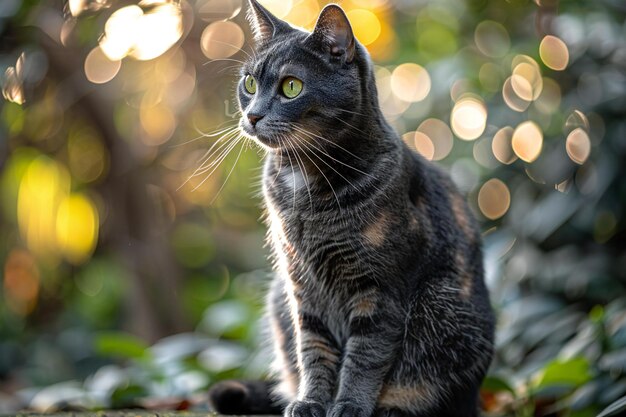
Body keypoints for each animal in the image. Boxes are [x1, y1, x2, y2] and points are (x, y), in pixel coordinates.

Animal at [207, 1, 494, 414]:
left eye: (291, 86)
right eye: (249, 84)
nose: (253, 115)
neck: (305, 192)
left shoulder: (380, 288)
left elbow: (365, 355)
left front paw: (349, 405)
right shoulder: (300, 285)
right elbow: (313, 350)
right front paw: (311, 401)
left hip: (442, 306)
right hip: (278, 294)